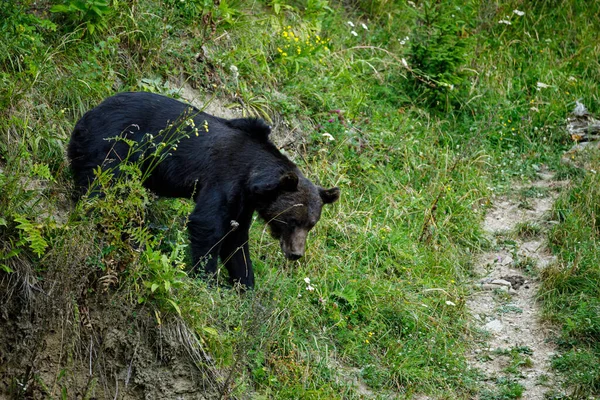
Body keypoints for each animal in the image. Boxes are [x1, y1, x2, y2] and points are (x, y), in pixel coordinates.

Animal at [68, 92, 340, 290]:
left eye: (311, 224)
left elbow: (236, 241)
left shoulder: (243, 203)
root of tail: (86, 115)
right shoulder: (224, 177)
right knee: (102, 188)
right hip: (114, 147)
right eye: (292, 220)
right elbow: (208, 224)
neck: (252, 178)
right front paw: (207, 278)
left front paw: (245, 284)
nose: (296, 253)